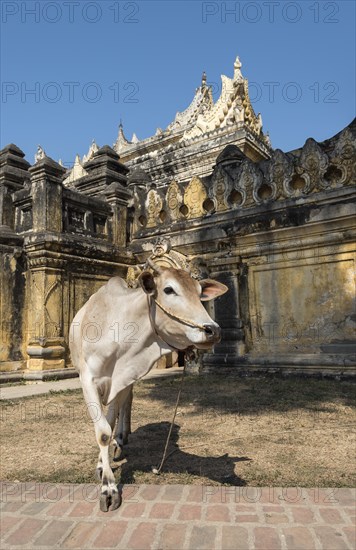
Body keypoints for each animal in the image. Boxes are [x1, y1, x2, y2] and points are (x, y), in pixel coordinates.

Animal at [69, 264, 227, 512]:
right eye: (169, 289)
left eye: (200, 292)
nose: (213, 330)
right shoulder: (87, 380)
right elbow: (102, 432)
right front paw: (107, 487)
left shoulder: (123, 378)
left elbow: (110, 423)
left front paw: (107, 467)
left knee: (126, 405)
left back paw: (121, 438)